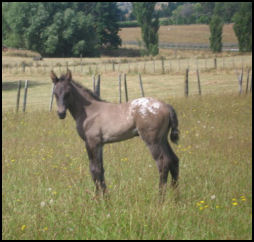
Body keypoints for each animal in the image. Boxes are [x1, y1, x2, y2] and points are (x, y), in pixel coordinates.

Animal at [50, 69, 180, 197]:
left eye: (68, 93)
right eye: (55, 93)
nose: (61, 113)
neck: (89, 112)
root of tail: (166, 106)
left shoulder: (91, 142)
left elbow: (94, 169)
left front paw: (99, 198)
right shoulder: (100, 144)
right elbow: (100, 169)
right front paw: (105, 196)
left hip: (152, 141)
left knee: (163, 163)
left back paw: (160, 198)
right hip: (162, 139)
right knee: (173, 160)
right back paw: (175, 196)